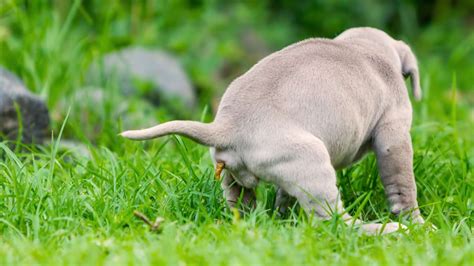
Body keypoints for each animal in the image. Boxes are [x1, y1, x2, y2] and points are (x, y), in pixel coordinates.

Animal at [120, 27, 424, 234]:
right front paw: (416, 222)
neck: (362, 47)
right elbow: (402, 182)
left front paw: (283, 213)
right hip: (312, 160)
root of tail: (226, 126)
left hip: (241, 174)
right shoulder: (394, 131)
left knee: (242, 205)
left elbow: (284, 194)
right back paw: (386, 231)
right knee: (332, 221)